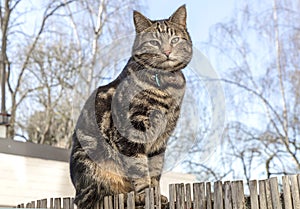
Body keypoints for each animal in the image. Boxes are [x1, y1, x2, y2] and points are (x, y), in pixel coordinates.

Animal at [70, 5, 192, 209]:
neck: (165, 85)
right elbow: (139, 168)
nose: (167, 51)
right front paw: (144, 195)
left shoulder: (161, 140)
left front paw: (156, 195)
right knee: (100, 194)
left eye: (174, 39)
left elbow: (155, 171)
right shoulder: (132, 130)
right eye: (154, 42)